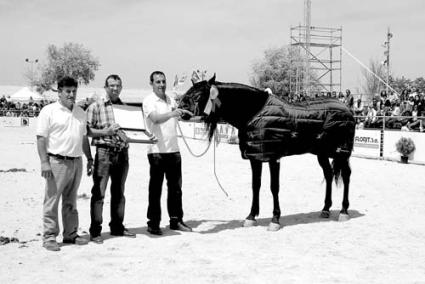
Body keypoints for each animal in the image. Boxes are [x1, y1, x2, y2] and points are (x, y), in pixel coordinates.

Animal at [178, 75, 354, 231]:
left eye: (199, 95)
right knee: (329, 175)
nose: (181, 112)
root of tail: (348, 109)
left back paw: (343, 211)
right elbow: (256, 185)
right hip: (322, 153)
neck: (254, 112)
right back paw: (325, 209)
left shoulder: (273, 157)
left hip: (342, 153)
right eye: (188, 92)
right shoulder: (255, 157)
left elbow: (274, 187)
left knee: (346, 175)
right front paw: (251, 217)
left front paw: (275, 219)